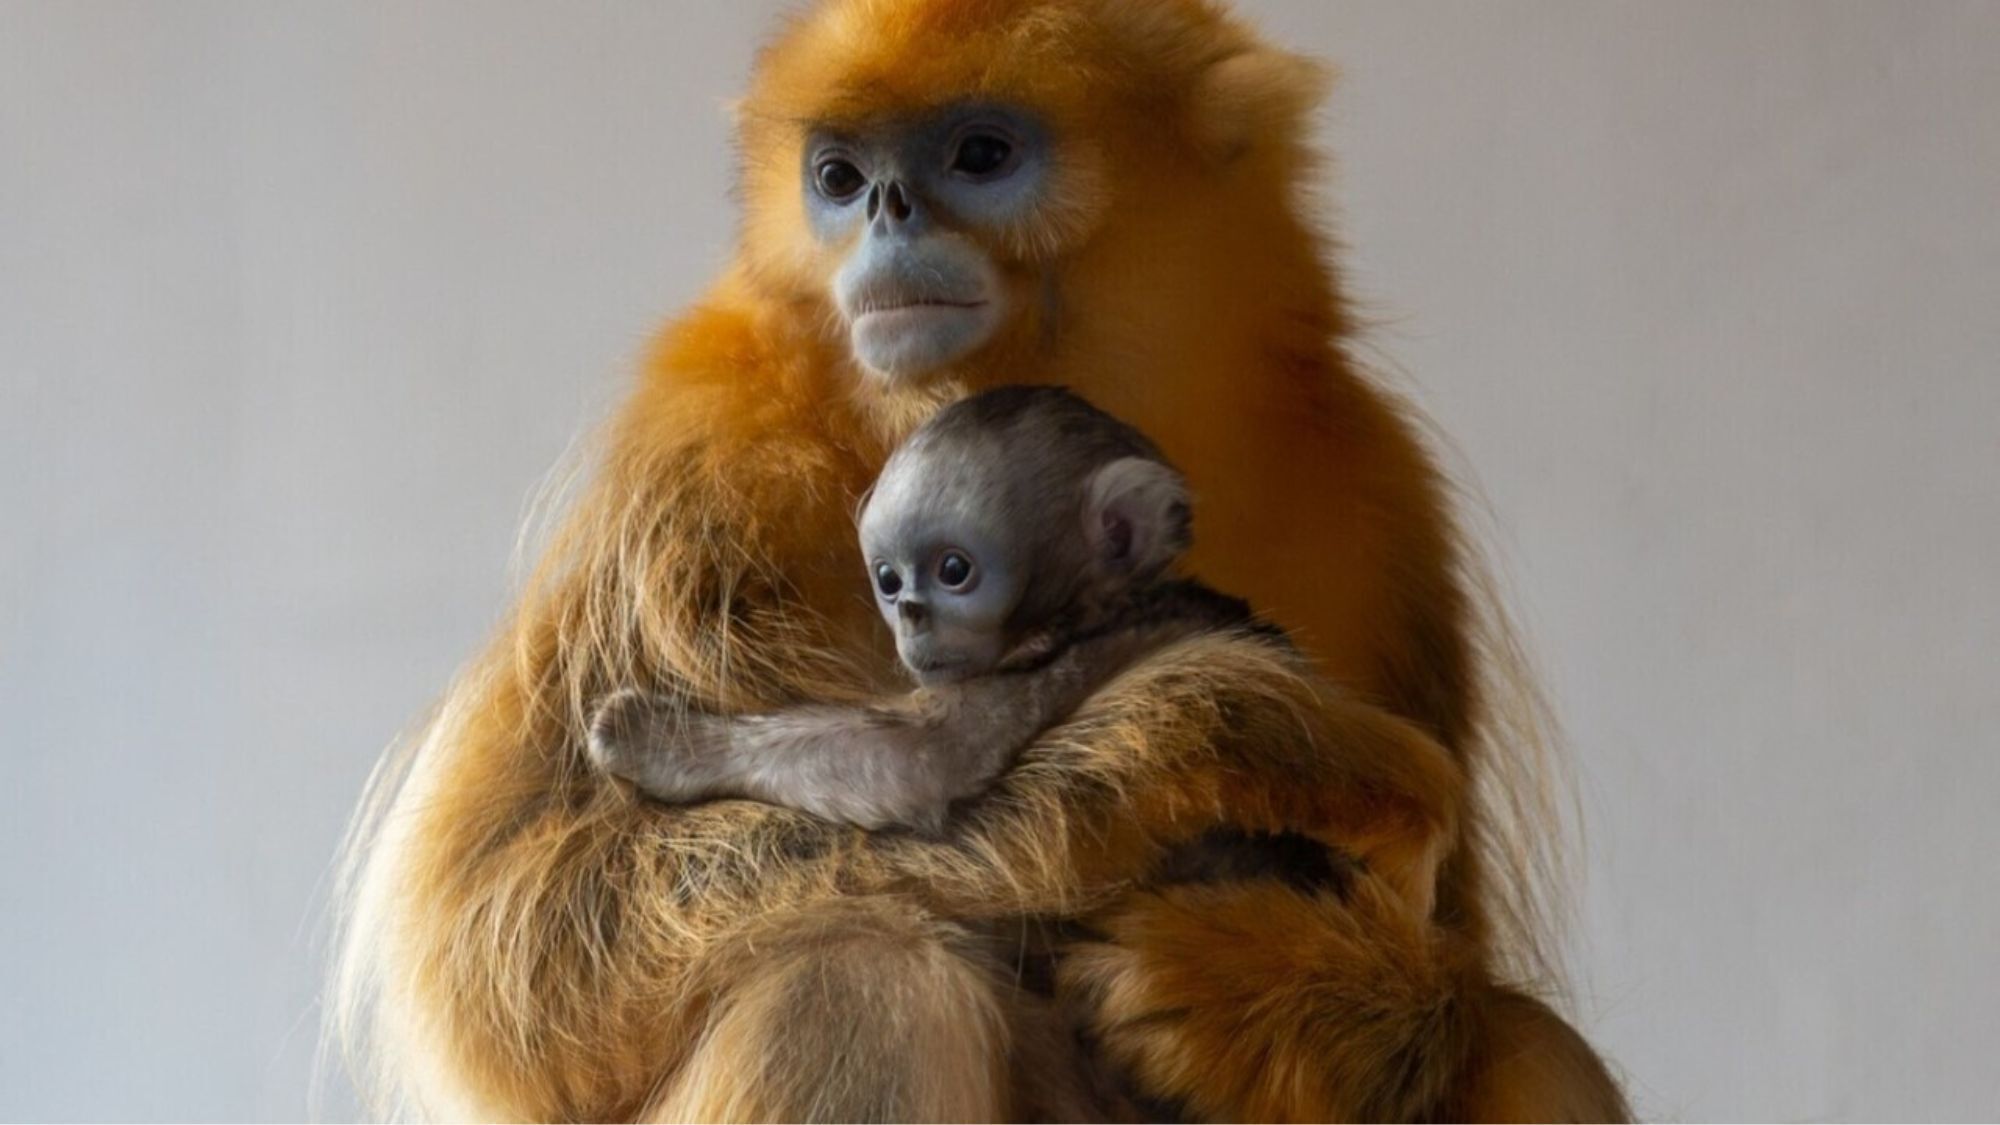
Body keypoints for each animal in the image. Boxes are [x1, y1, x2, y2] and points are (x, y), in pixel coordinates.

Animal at [332, 2, 1631, 1121]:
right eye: (836, 177)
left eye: (979, 153)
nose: (886, 210)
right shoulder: (702, 454)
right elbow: (513, 969)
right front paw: (1219, 725)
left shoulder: (1379, 474)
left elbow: (1442, 927)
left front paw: (1280, 997)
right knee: (853, 968)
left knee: (1525, 1046)